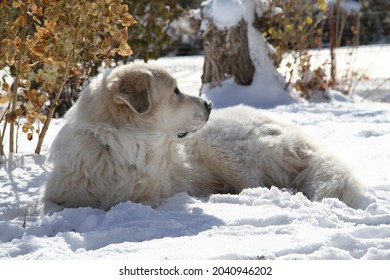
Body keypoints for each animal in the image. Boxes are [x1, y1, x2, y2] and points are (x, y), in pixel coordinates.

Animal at [35, 63, 364, 212]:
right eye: (176, 92)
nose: (209, 104)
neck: (117, 148)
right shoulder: (60, 195)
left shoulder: (150, 193)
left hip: (217, 146)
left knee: (262, 185)